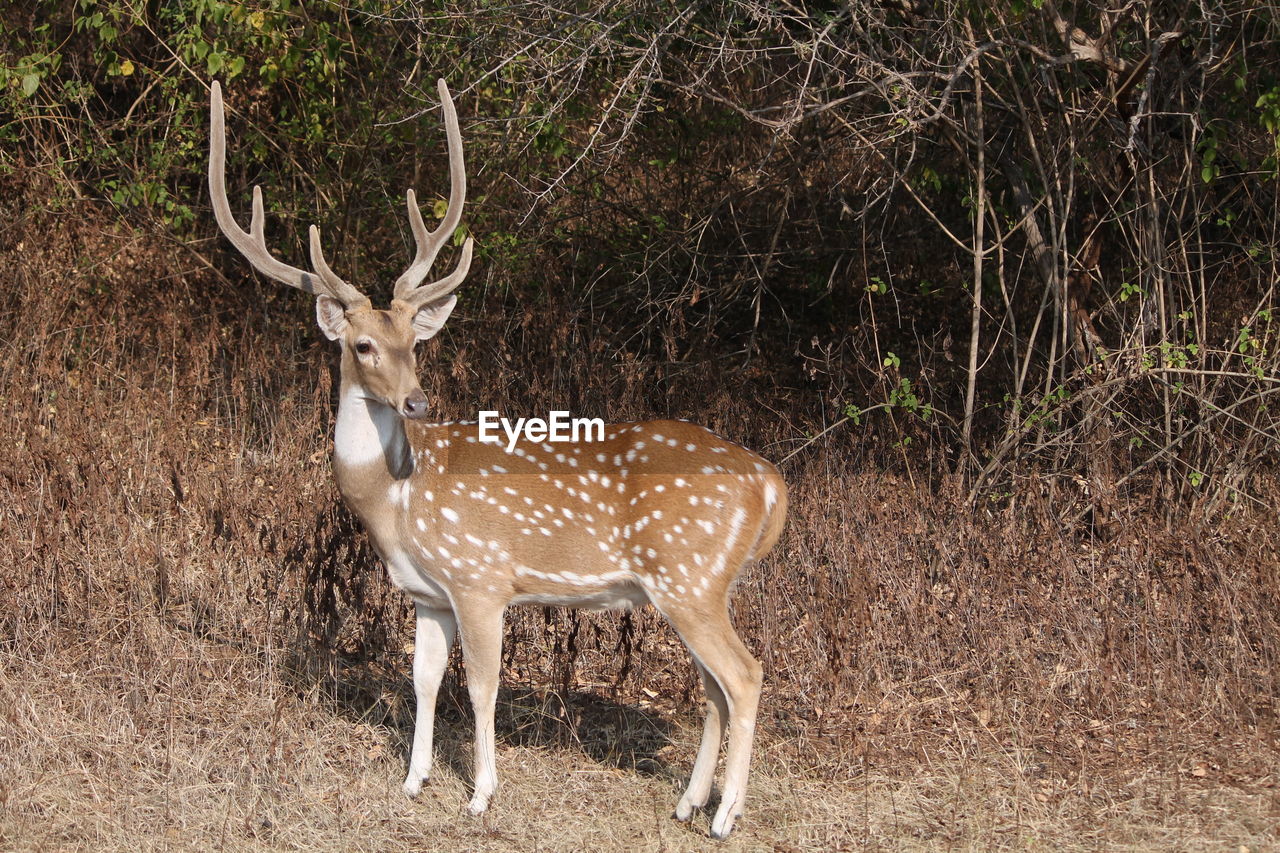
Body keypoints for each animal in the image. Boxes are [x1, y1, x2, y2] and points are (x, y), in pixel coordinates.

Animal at [206, 76, 783, 835]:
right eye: (364, 344)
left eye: (415, 343)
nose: (417, 402)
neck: (394, 501)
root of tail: (771, 482)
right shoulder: (428, 594)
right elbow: (422, 680)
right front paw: (414, 779)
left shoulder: (480, 577)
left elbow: (482, 686)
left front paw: (480, 792)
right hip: (701, 584)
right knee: (714, 686)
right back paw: (691, 803)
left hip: (687, 575)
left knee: (745, 676)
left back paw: (725, 815)